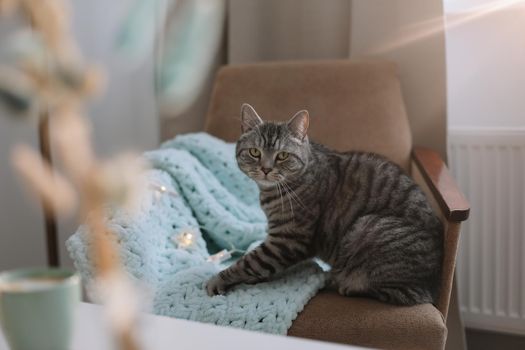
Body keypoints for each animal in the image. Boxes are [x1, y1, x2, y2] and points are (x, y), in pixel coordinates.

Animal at [205, 102, 442, 304]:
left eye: (282, 156)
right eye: (255, 152)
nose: (265, 168)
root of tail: (433, 285)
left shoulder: (287, 239)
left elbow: (250, 261)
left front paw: (218, 279)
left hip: (368, 228)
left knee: (402, 293)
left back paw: (340, 281)